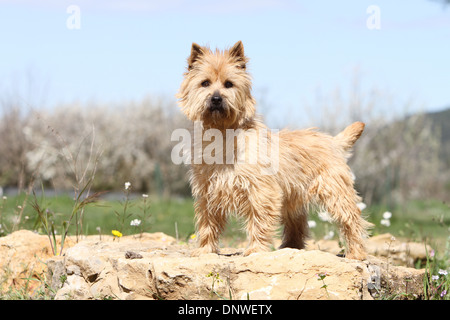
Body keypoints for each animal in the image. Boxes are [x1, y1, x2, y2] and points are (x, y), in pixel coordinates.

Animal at [177, 41, 372, 258]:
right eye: (205, 83)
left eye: (229, 84)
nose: (216, 99)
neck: (222, 134)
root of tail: (333, 141)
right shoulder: (208, 192)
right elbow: (207, 222)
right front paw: (204, 249)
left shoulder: (261, 190)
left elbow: (259, 219)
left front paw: (255, 249)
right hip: (293, 196)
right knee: (297, 224)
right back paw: (290, 247)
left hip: (334, 192)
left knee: (351, 219)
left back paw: (356, 253)